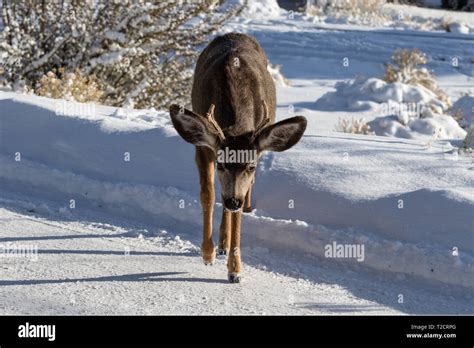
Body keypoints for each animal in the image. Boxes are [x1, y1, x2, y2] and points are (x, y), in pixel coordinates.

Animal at [168, 32, 306, 282]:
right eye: (221, 164)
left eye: (251, 166)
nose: (234, 200)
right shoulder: (205, 147)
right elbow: (208, 195)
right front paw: (208, 253)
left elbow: (237, 213)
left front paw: (235, 270)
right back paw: (221, 242)